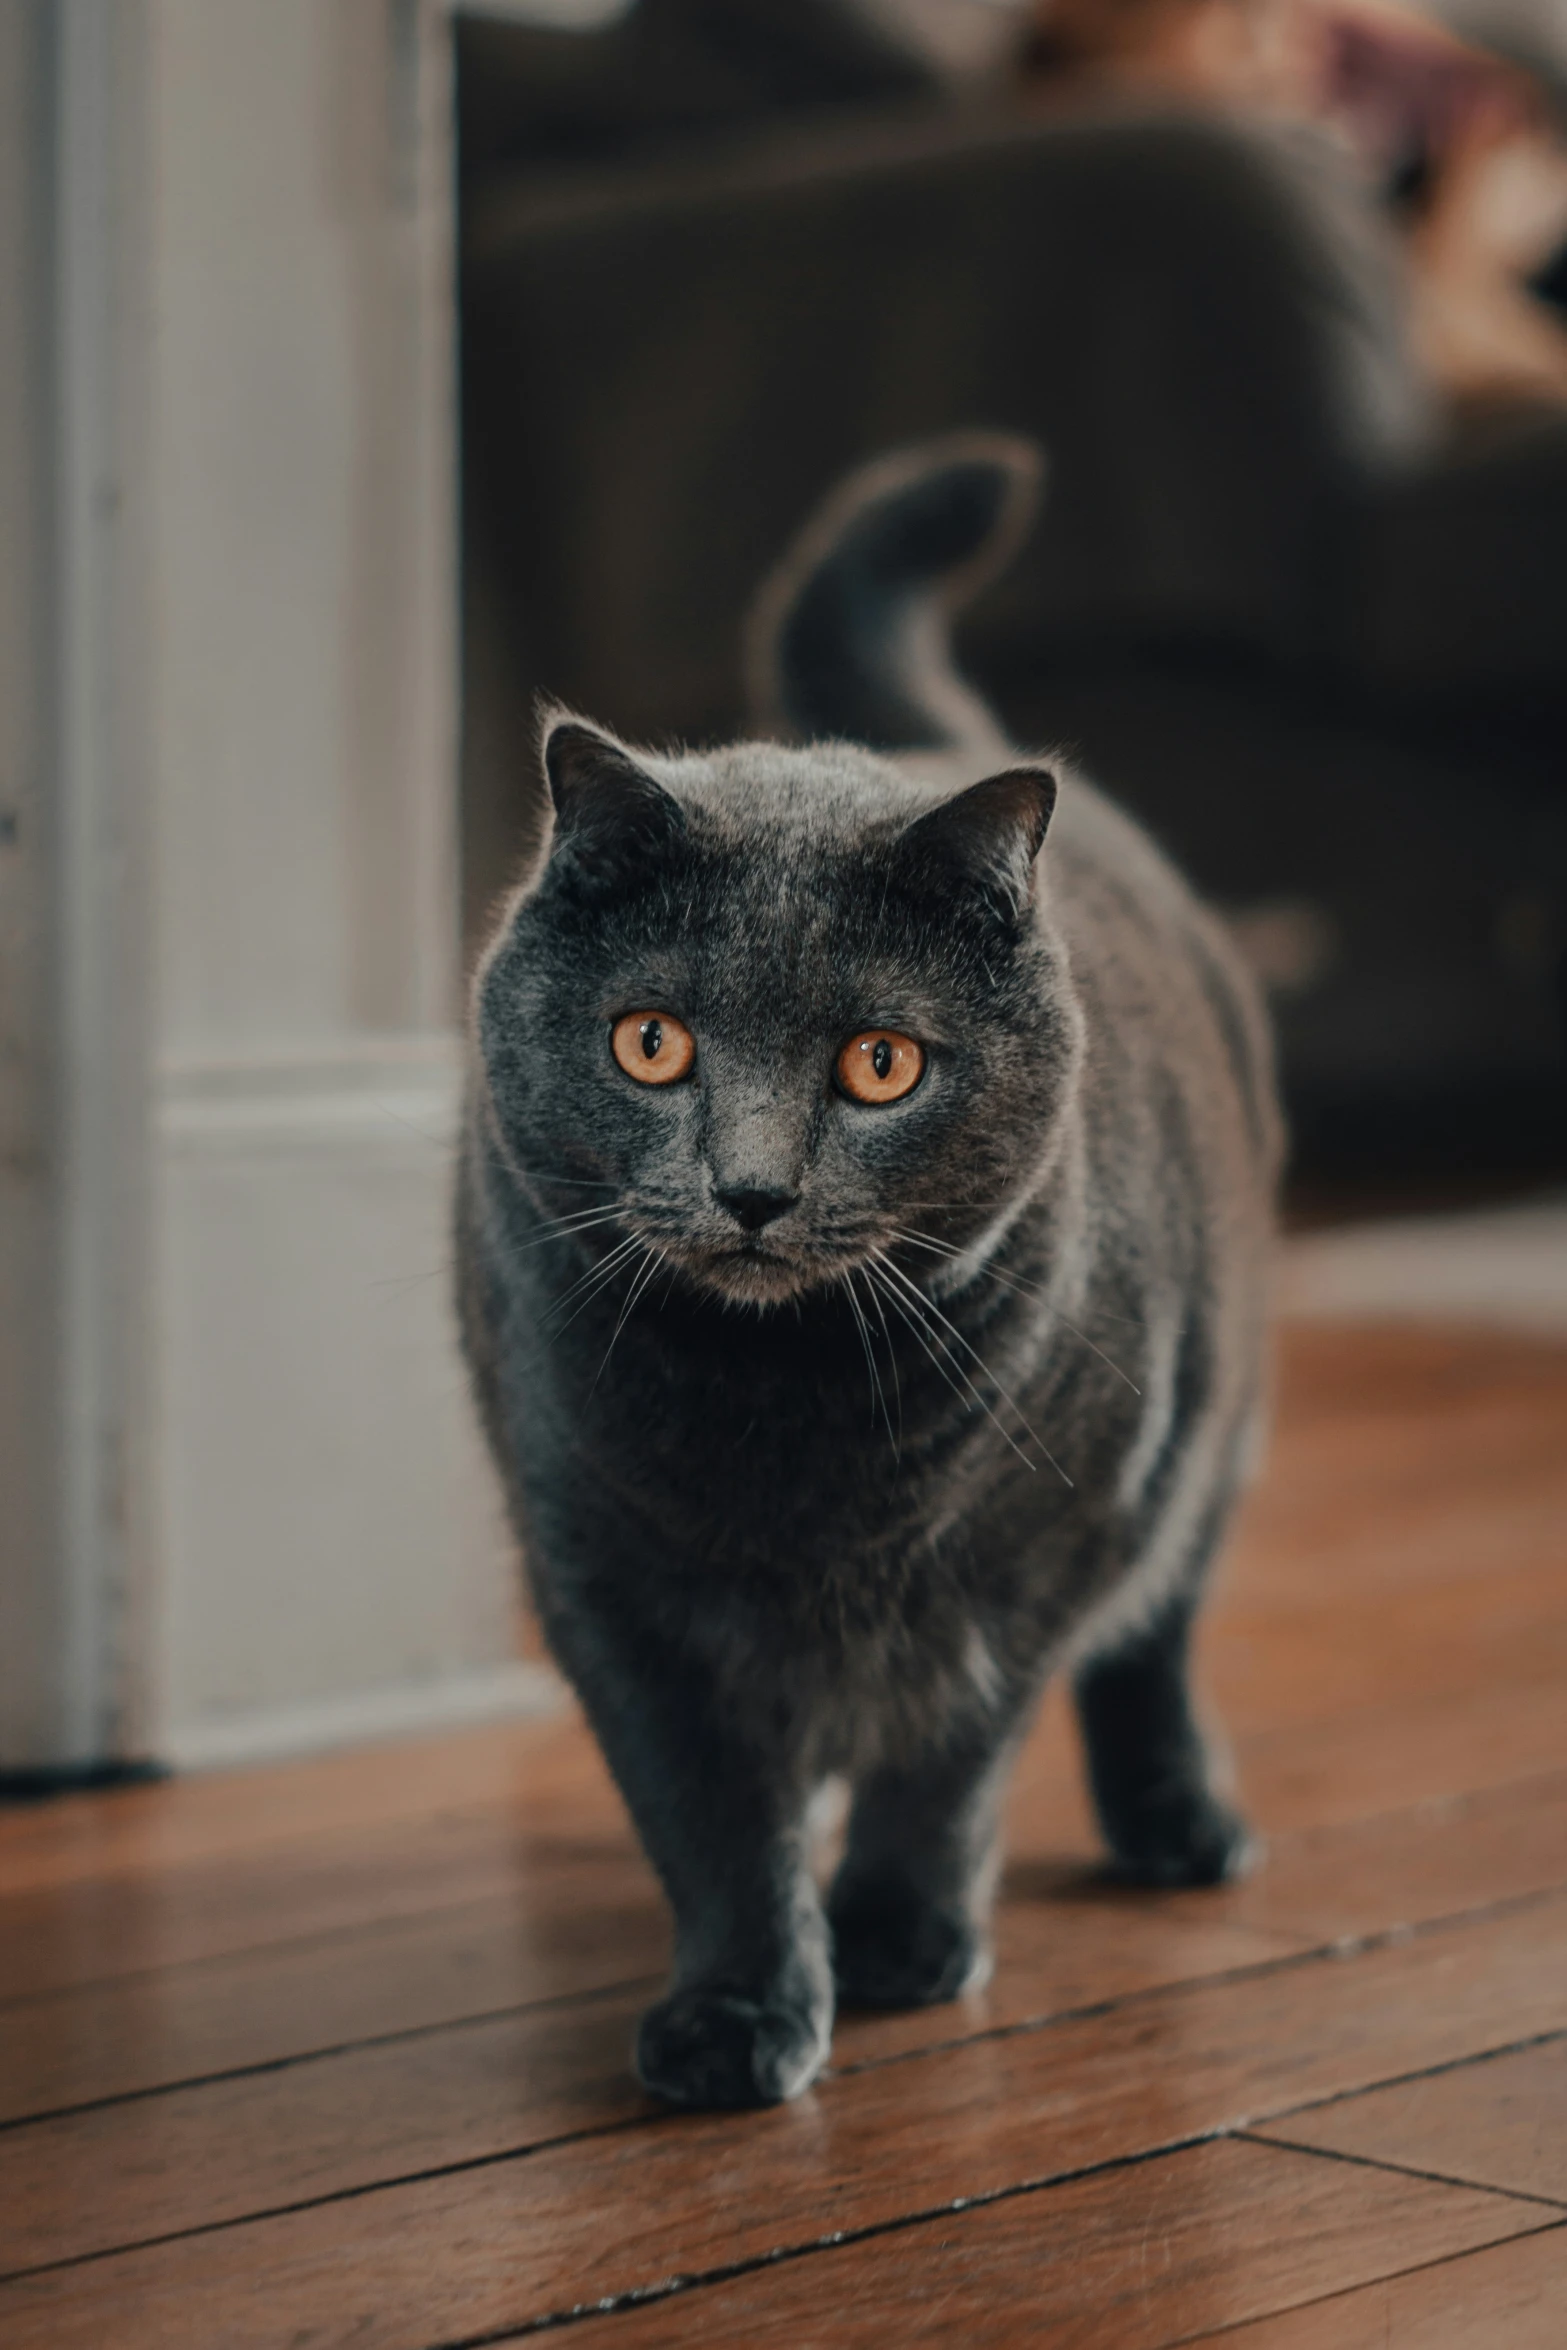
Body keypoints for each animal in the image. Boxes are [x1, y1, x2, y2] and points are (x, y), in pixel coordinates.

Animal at [455, 437, 1287, 2115]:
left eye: (878, 1063)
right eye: (652, 1042)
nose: (752, 1186)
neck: (789, 1424)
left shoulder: (1036, 1551)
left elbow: (947, 1763)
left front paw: (897, 1943)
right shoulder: (599, 1574)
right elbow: (708, 1811)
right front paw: (737, 2011)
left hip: (1209, 1428)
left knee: (1153, 1641)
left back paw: (1179, 1826)